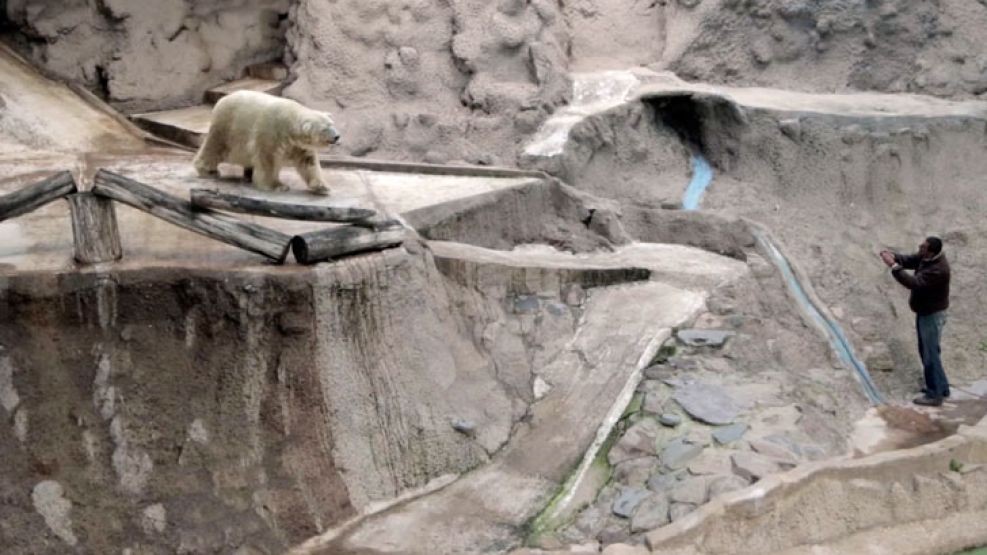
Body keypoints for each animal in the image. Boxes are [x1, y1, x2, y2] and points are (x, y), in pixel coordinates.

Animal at [195, 90, 342, 195]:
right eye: (325, 128)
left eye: (332, 123)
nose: (337, 136)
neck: (289, 122)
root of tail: (221, 100)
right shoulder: (270, 132)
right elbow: (267, 158)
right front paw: (277, 186)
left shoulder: (298, 145)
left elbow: (308, 162)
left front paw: (322, 187)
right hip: (226, 126)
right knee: (215, 147)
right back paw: (209, 171)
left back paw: (248, 175)